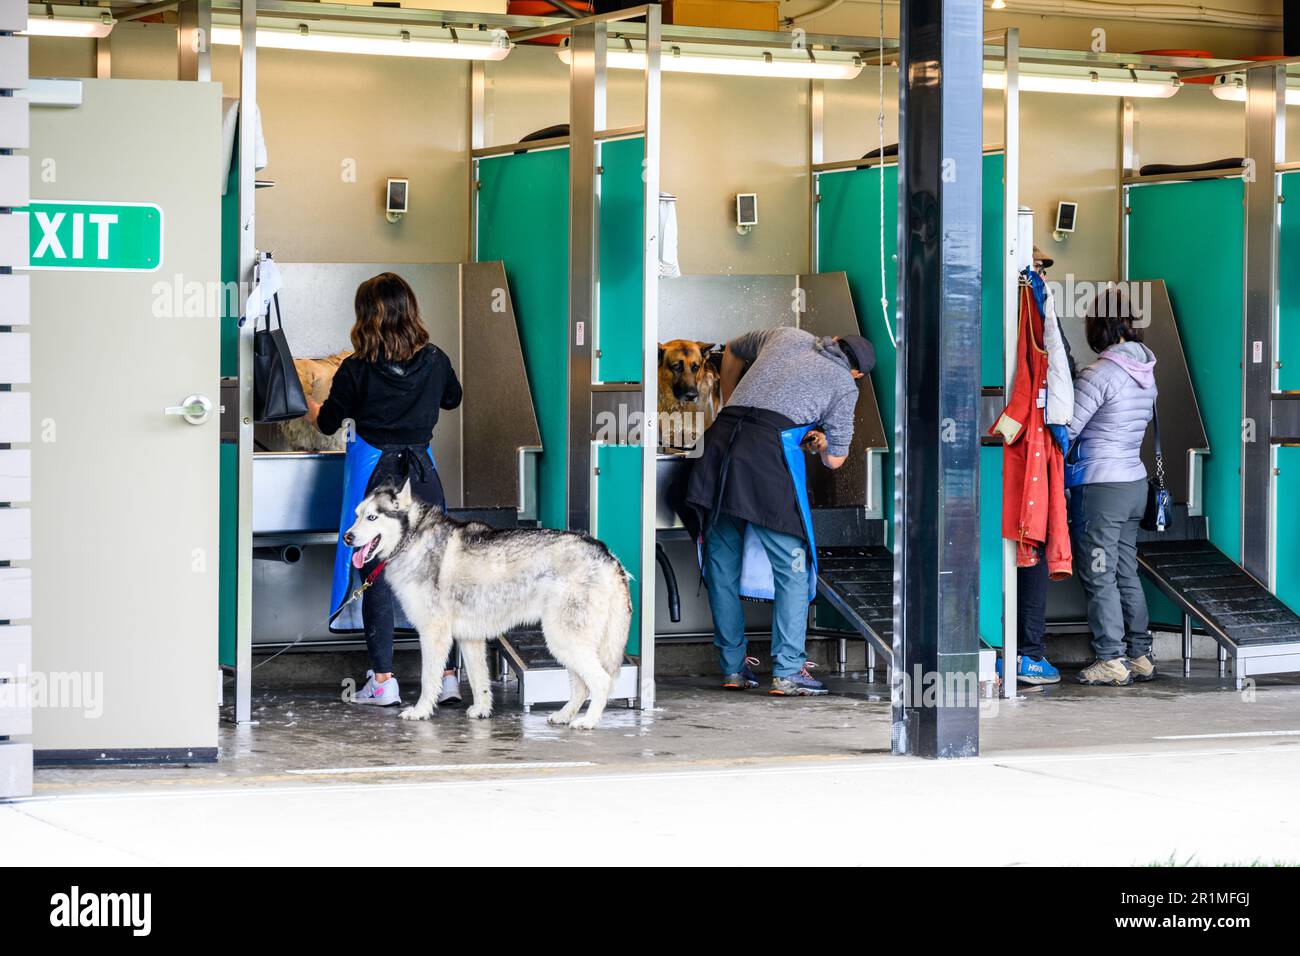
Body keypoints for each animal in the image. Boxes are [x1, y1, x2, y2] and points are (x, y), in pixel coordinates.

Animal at [343, 481, 631, 728]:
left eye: (372, 518)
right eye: (356, 515)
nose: (347, 537)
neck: (413, 538)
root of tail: (607, 554)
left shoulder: (433, 635)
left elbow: (428, 679)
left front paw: (421, 711)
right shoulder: (469, 638)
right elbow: (479, 680)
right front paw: (482, 711)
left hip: (563, 640)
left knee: (601, 681)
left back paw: (588, 721)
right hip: (566, 644)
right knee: (582, 685)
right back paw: (564, 716)